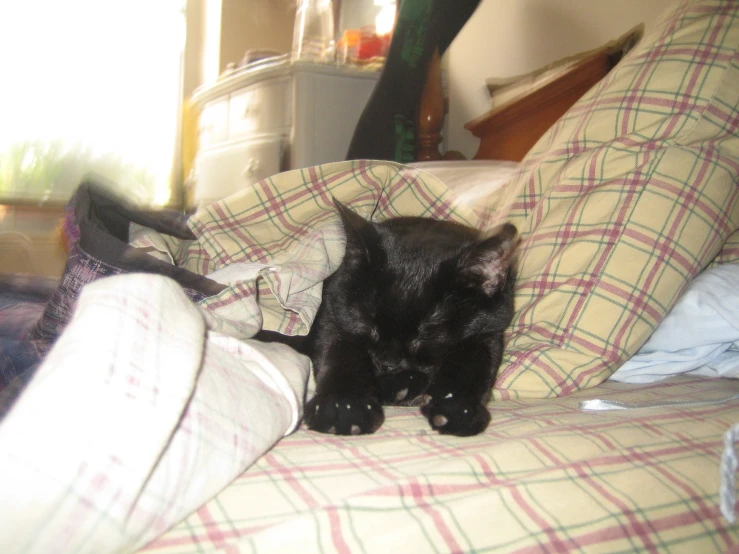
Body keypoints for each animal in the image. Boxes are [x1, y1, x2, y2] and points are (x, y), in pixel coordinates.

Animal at [258, 199, 516, 436]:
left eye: (428, 333)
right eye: (367, 322)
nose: (387, 362)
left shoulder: (490, 328)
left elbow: (474, 362)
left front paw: (456, 407)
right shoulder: (332, 310)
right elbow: (339, 350)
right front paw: (343, 407)